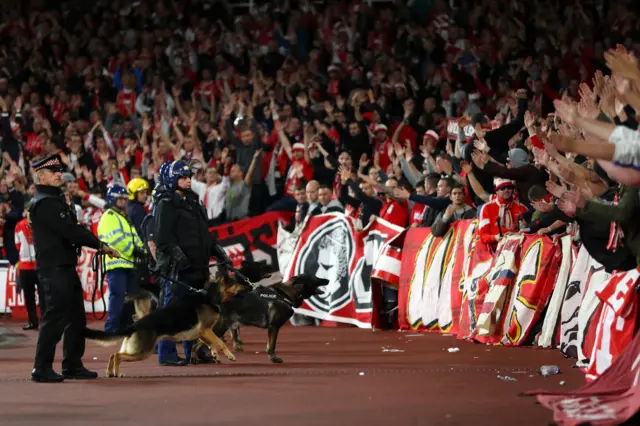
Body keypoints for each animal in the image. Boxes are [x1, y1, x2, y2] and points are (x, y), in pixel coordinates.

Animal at [82, 276, 245, 376]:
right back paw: (117, 374)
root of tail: (135, 326)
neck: (210, 295)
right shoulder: (206, 330)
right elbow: (219, 343)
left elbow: (208, 344)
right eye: (236, 282)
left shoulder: (202, 333)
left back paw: (110, 373)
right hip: (142, 352)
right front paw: (230, 355)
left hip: (135, 349)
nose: (248, 286)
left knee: (112, 355)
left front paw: (214, 354)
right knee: (116, 356)